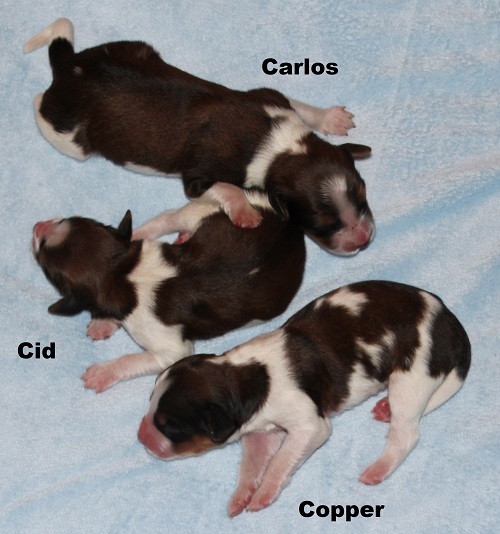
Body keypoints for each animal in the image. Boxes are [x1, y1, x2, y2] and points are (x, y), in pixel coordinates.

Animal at [25, 18, 375, 255]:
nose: (364, 239)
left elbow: (300, 106)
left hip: (133, 48)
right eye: (321, 224)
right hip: (67, 135)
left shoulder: (270, 97)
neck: (280, 147)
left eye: (362, 195)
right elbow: (225, 187)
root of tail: (70, 66)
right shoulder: (198, 176)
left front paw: (330, 117)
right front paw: (245, 212)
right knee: (40, 104)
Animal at [32, 190, 306, 392]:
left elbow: (137, 358)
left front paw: (102, 372)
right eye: (70, 219)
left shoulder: (169, 349)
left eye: (44, 260)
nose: (37, 227)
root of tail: (288, 222)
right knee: (169, 218)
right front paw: (104, 321)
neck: (120, 272)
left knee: (171, 216)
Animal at [138, 280, 471, 515]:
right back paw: (384, 410)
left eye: (170, 427)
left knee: (407, 433)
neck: (249, 377)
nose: (141, 437)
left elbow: (280, 460)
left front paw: (264, 494)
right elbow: (251, 463)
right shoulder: (260, 432)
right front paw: (242, 495)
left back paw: (378, 468)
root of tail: (448, 318)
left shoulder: (310, 426)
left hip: (411, 375)